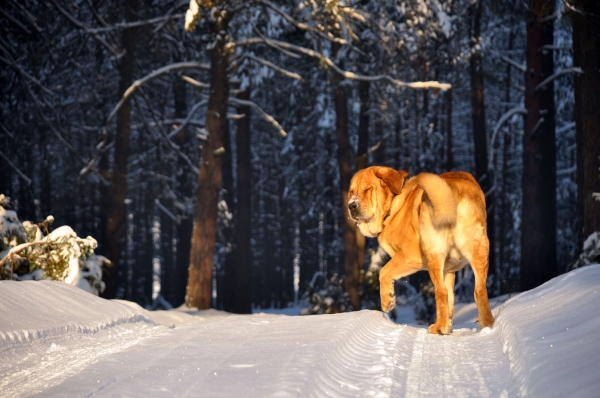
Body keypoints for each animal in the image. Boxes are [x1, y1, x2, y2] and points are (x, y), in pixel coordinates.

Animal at [350, 166, 494, 334]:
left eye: (367, 189)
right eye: (351, 191)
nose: (351, 205)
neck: (393, 207)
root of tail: (454, 191)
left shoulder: (410, 256)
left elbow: (384, 272)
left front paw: (388, 300)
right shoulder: (448, 270)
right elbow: (450, 299)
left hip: (433, 255)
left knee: (440, 292)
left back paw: (439, 327)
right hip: (478, 251)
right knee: (479, 290)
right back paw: (485, 325)